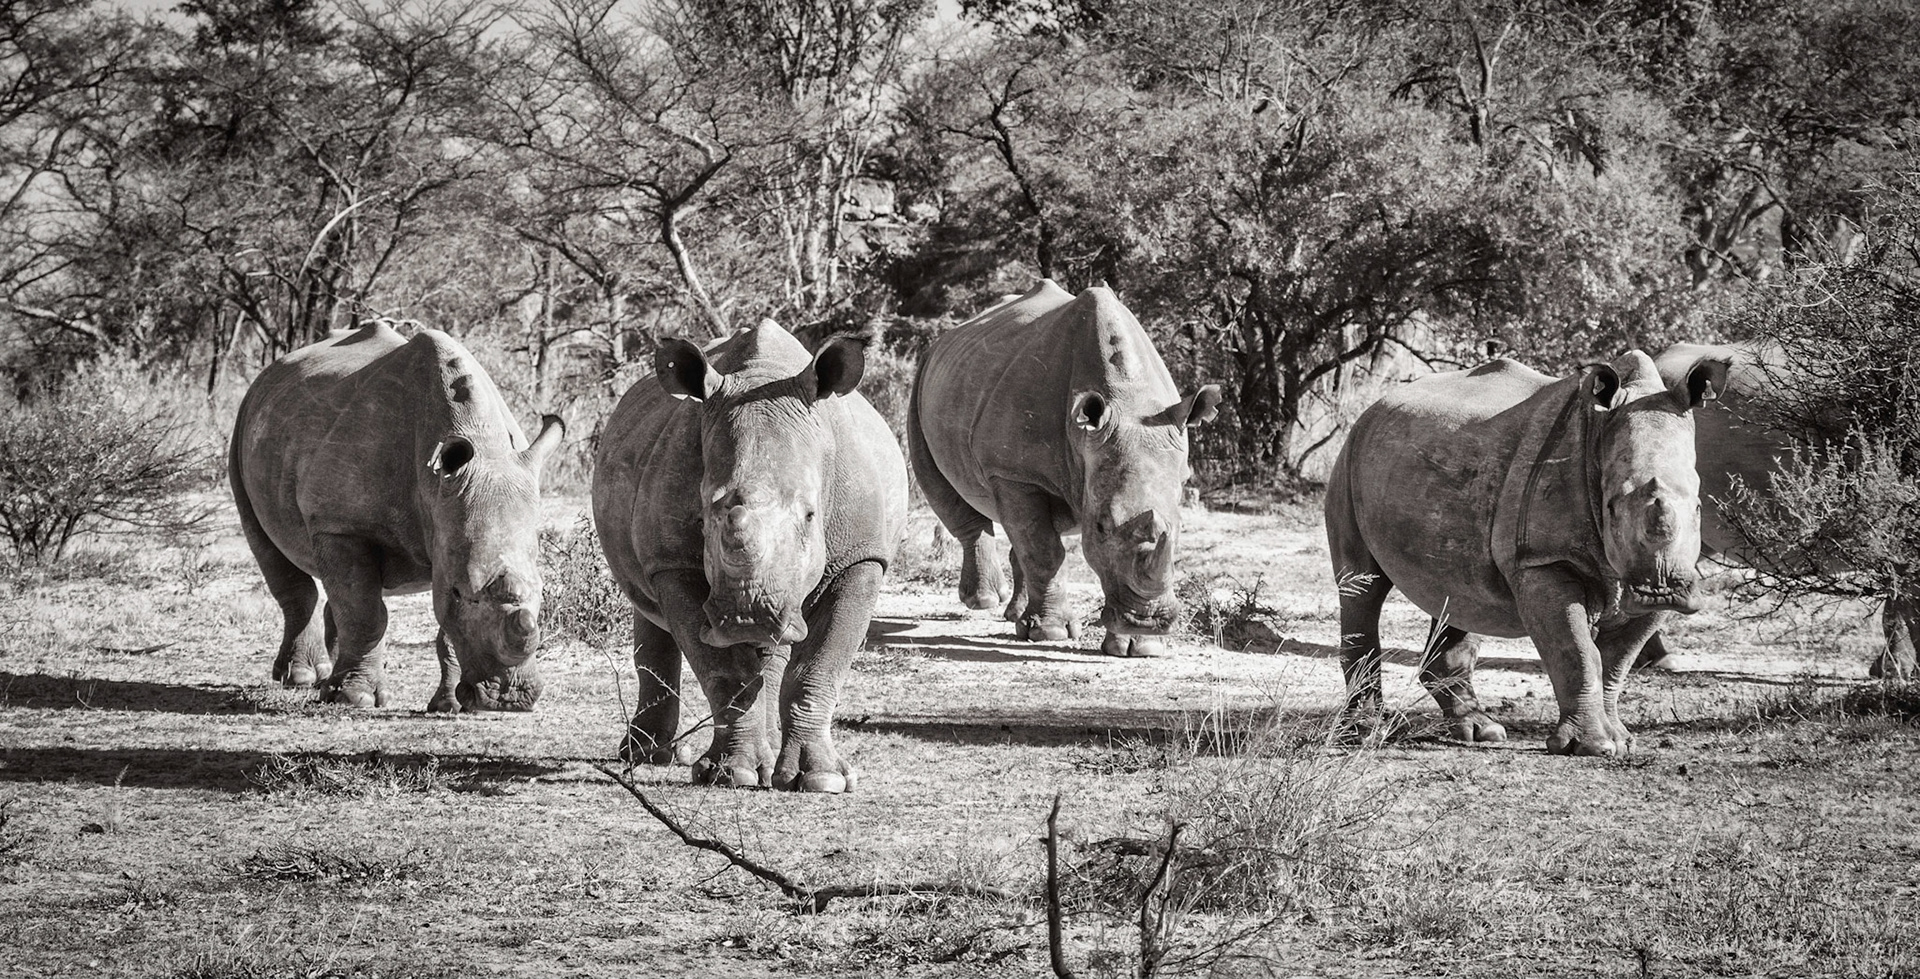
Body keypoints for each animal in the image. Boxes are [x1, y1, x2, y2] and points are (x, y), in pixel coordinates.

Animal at [229, 323, 564, 712]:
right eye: (460, 592)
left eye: (542, 590)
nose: (510, 698)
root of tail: (271, 371)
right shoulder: (340, 526)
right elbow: (365, 613)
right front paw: (355, 698)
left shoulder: (449, 528)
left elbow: (438, 625)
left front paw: (448, 705)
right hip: (243, 425)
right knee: (273, 552)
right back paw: (303, 679)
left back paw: (327, 683)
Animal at [593, 323, 906, 793]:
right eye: (704, 517)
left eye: (811, 516)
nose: (748, 616)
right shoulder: (672, 563)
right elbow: (724, 671)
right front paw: (733, 774)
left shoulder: (862, 557)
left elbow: (819, 666)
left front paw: (822, 780)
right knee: (649, 611)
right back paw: (648, 755)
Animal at [907, 280, 1220, 657]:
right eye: (1101, 526)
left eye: (1179, 528)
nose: (1146, 623)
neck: (1127, 400)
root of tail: (944, 340)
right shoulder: (1013, 473)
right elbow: (1043, 549)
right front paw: (1052, 633)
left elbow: (1038, 542)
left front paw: (1141, 647)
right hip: (922, 382)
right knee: (950, 496)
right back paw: (984, 601)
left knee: (1020, 530)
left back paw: (1015, 616)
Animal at [1324, 352, 1724, 755]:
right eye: (1610, 507)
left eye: (1698, 508)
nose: (1660, 590)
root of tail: (1374, 407)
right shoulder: (1542, 560)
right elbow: (1575, 650)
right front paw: (1592, 746)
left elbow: (1616, 660)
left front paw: (1622, 742)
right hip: (1350, 458)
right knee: (1363, 586)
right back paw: (1365, 732)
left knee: (1458, 593)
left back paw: (1482, 731)